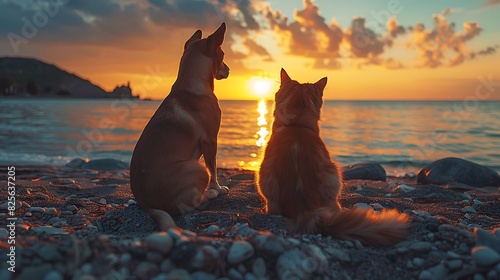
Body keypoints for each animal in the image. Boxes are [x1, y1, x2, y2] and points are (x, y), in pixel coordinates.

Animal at [129, 23, 230, 230]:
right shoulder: (211, 140)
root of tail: (146, 204)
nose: (229, 70)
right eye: (222, 55)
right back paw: (210, 193)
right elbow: (214, 168)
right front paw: (218, 188)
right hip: (197, 168)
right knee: (191, 203)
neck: (190, 84)